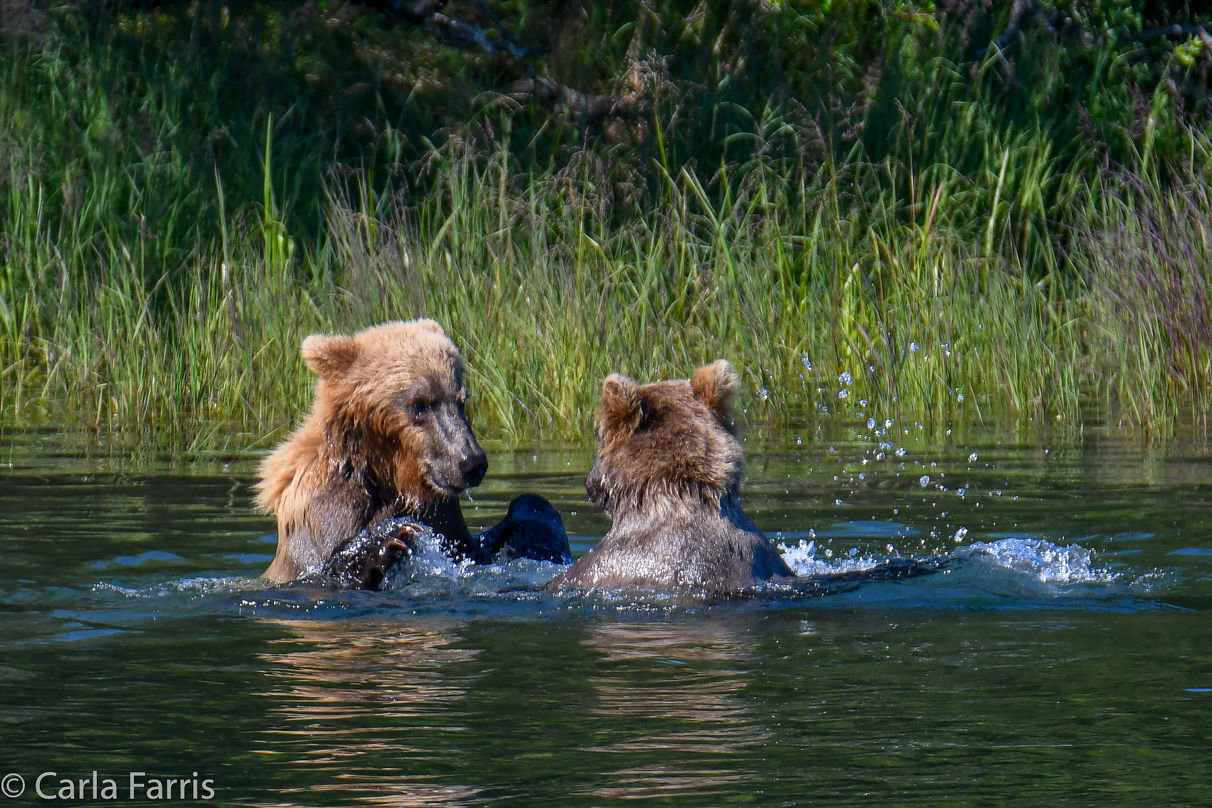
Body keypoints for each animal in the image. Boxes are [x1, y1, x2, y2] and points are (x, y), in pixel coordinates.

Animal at [255, 319, 567, 591]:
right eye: (420, 404)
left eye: (460, 399)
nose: (472, 463)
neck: (391, 476)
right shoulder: (325, 508)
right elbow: (325, 566)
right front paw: (390, 541)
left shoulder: (444, 516)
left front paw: (531, 509)